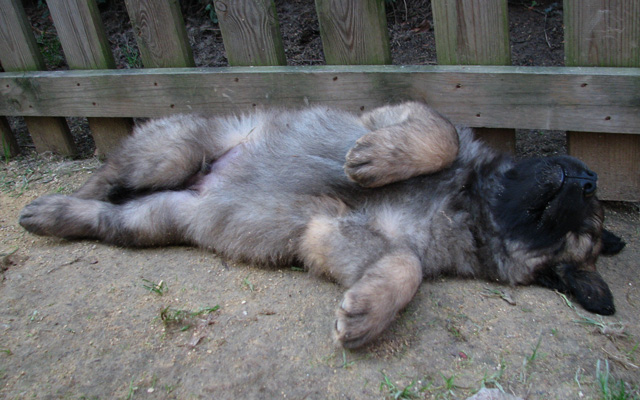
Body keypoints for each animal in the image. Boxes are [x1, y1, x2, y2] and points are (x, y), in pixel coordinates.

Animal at [18, 102, 624, 346]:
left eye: (578, 231)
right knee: (106, 177)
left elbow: (402, 264)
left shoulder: (332, 230)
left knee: (109, 216)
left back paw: (55, 216)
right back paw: (52, 201)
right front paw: (372, 160)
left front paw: (368, 311)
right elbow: (442, 134)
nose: (589, 178)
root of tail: (199, 183)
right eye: (584, 197)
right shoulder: (394, 115)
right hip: (170, 152)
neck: (467, 201)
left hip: (156, 218)